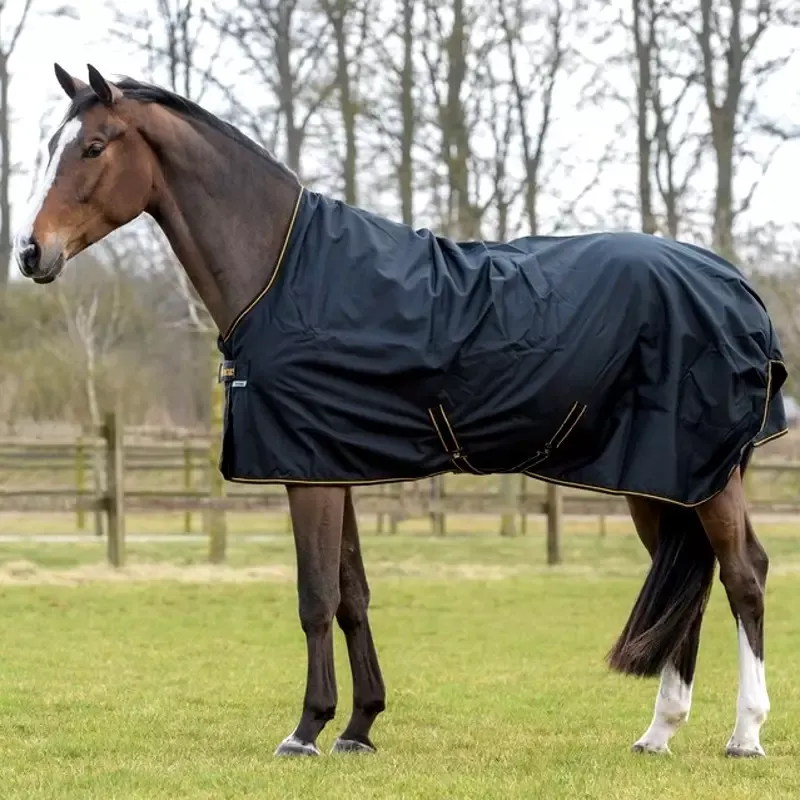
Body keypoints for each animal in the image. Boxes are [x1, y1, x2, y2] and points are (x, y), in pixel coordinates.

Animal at [13, 63, 788, 759]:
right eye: (50, 144)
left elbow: (315, 596)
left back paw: (745, 735)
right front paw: (359, 727)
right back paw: (658, 733)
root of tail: (737, 288)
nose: (30, 252)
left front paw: (306, 730)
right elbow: (353, 594)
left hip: (704, 476)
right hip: (659, 477)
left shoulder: (307, 472)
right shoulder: (332, 465)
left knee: (743, 574)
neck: (283, 273)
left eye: (93, 146)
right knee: (689, 580)